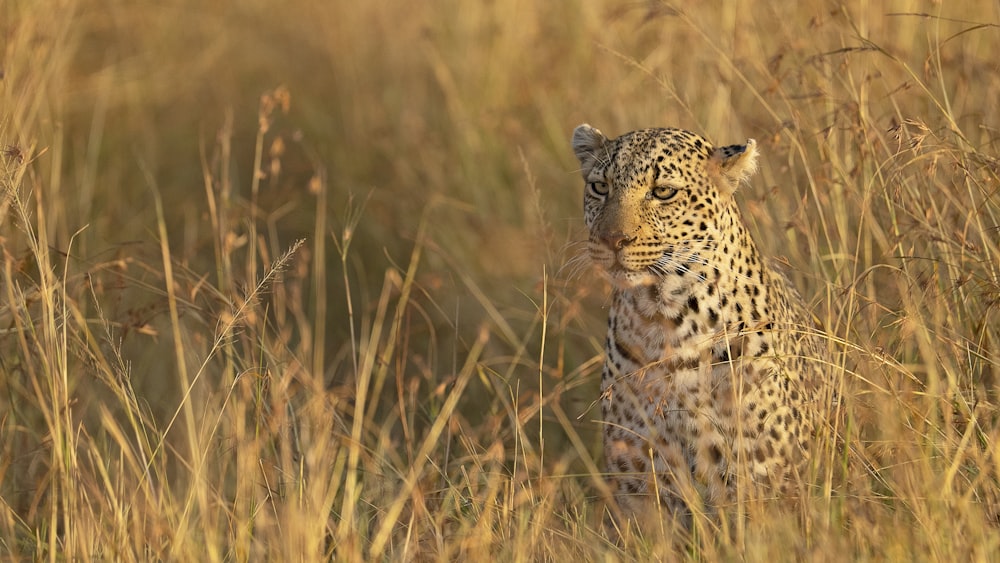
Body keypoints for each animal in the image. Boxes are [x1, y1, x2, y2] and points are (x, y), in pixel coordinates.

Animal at [576, 123, 832, 528]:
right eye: (600, 187)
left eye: (663, 191)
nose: (612, 240)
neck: (661, 318)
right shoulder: (640, 485)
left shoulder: (761, 477)